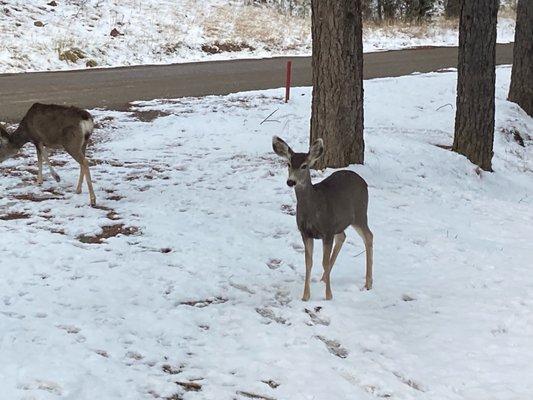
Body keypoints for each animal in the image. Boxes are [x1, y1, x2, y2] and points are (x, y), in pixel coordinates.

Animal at [272, 137, 372, 300]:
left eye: (304, 166)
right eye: (288, 164)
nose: (290, 181)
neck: (312, 210)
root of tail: (363, 181)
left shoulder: (327, 230)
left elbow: (323, 262)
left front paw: (328, 296)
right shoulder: (305, 232)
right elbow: (308, 263)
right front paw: (305, 296)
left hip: (360, 214)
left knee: (369, 236)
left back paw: (368, 283)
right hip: (340, 221)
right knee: (343, 236)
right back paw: (324, 278)